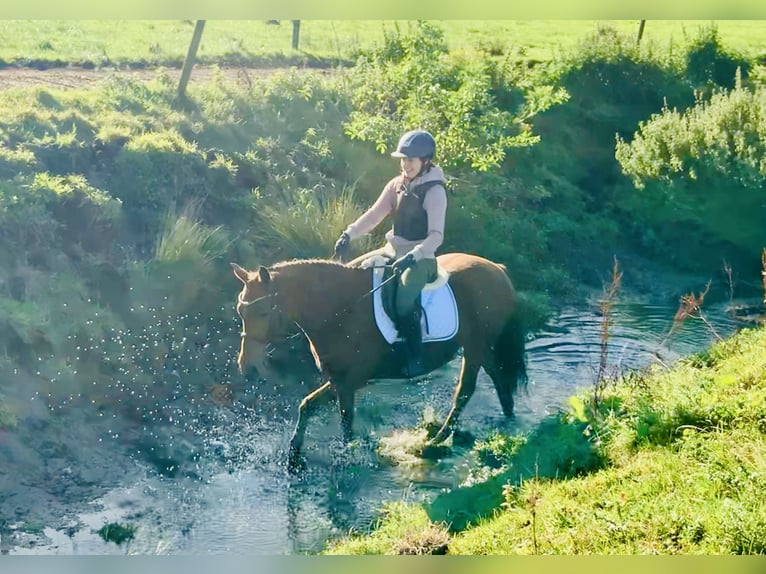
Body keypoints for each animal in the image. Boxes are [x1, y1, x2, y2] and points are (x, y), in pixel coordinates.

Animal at [230, 254, 528, 470]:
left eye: (263, 311)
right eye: (240, 311)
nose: (249, 367)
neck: (339, 311)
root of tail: (497, 269)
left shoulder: (350, 382)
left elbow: (346, 422)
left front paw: (348, 458)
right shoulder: (337, 379)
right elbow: (307, 406)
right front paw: (293, 456)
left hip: (475, 347)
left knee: (465, 391)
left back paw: (434, 441)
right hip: (484, 348)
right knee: (500, 380)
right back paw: (507, 420)